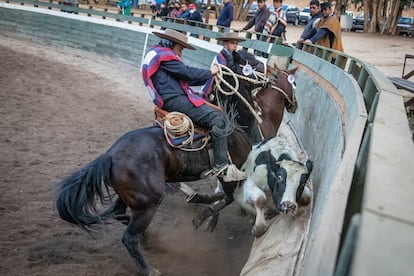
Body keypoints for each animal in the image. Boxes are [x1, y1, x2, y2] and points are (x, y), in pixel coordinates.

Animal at [55, 57, 298, 274]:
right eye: (250, 63)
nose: (273, 75)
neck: (239, 124)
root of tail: (109, 156)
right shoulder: (234, 169)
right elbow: (228, 197)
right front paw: (203, 215)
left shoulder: (228, 173)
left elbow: (223, 196)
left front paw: (201, 206)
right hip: (149, 202)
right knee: (129, 238)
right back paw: (149, 268)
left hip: (132, 198)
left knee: (118, 214)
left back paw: (149, 238)